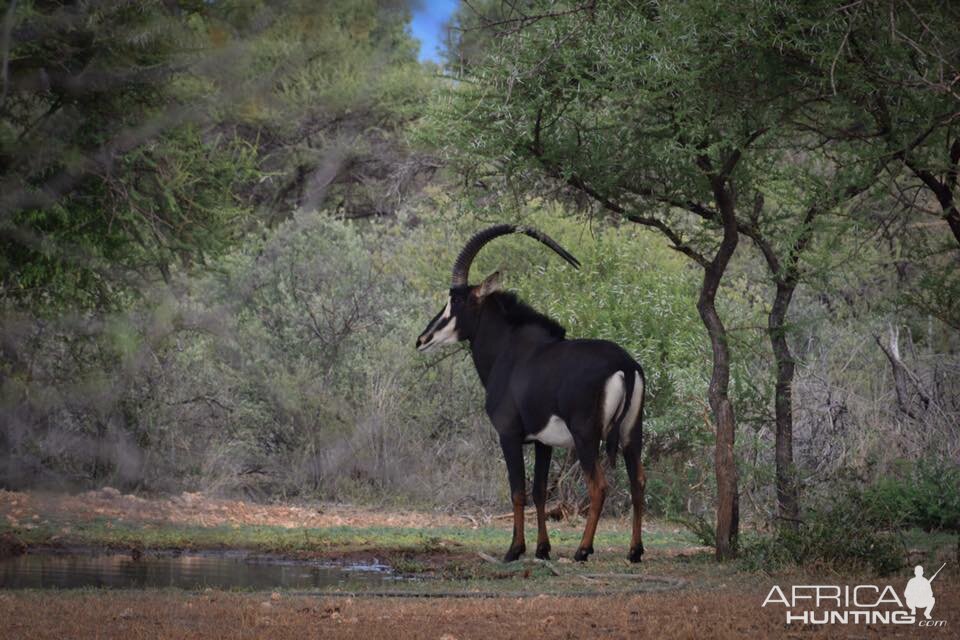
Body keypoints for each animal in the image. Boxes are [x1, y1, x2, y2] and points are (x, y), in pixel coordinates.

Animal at [418, 224, 648, 560]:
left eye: (457, 301)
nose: (423, 339)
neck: (508, 350)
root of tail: (626, 365)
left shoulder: (509, 435)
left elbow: (518, 491)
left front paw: (514, 549)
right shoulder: (543, 442)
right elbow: (539, 491)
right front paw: (542, 548)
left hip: (586, 436)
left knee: (599, 485)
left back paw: (583, 549)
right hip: (632, 434)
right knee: (638, 481)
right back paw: (634, 550)